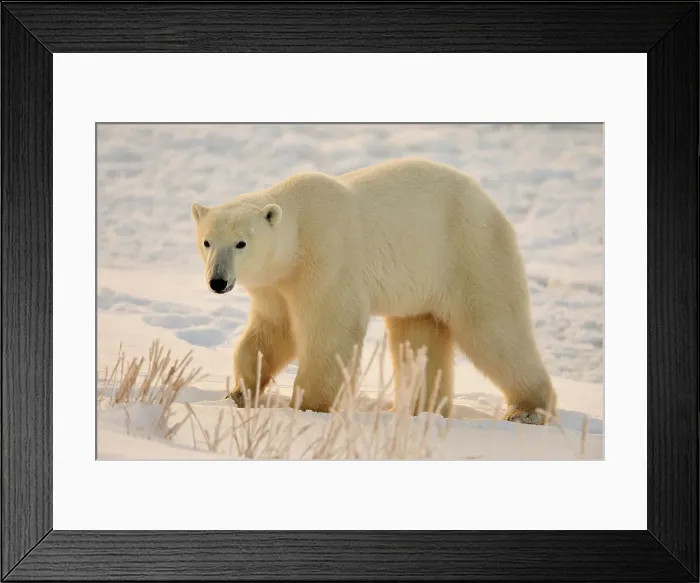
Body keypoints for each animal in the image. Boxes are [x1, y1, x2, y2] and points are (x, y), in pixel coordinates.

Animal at [191, 157, 556, 424]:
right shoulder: (275, 284)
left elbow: (330, 332)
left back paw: (527, 410)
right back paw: (418, 408)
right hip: (421, 284)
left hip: (468, 253)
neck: (297, 235)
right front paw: (241, 392)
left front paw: (310, 406)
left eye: (241, 243)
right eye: (207, 241)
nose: (217, 281)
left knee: (494, 330)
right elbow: (272, 331)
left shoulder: (326, 259)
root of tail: (489, 203)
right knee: (418, 338)